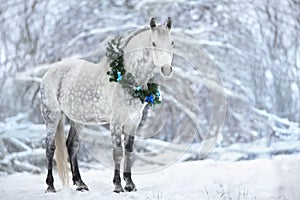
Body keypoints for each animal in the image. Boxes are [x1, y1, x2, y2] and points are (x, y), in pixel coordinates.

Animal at [40, 18, 176, 193]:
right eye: (153, 43)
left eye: (171, 42)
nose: (166, 70)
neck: (125, 77)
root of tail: (50, 71)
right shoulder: (116, 122)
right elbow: (117, 152)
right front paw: (118, 186)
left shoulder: (133, 121)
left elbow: (129, 151)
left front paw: (130, 184)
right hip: (52, 116)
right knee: (50, 148)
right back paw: (50, 186)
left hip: (78, 120)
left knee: (72, 146)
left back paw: (80, 183)